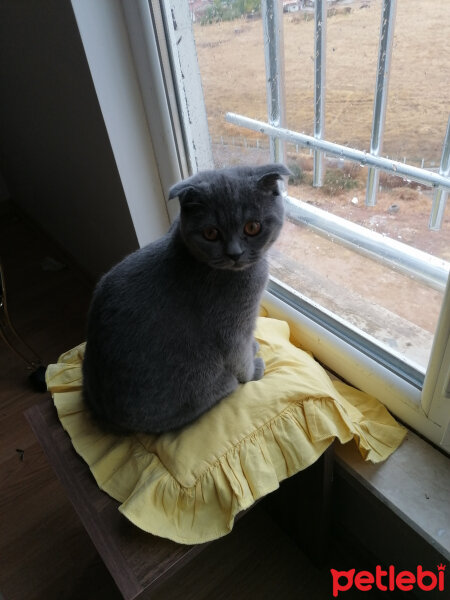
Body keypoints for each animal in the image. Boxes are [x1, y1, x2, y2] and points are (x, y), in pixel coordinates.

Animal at [82, 164, 290, 434]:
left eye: (252, 227)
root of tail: (103, 412)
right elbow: (240, 355)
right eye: (211, 233)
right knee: (225, 383)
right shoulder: (233, 327)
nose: (234, 254)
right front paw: (253, 372)